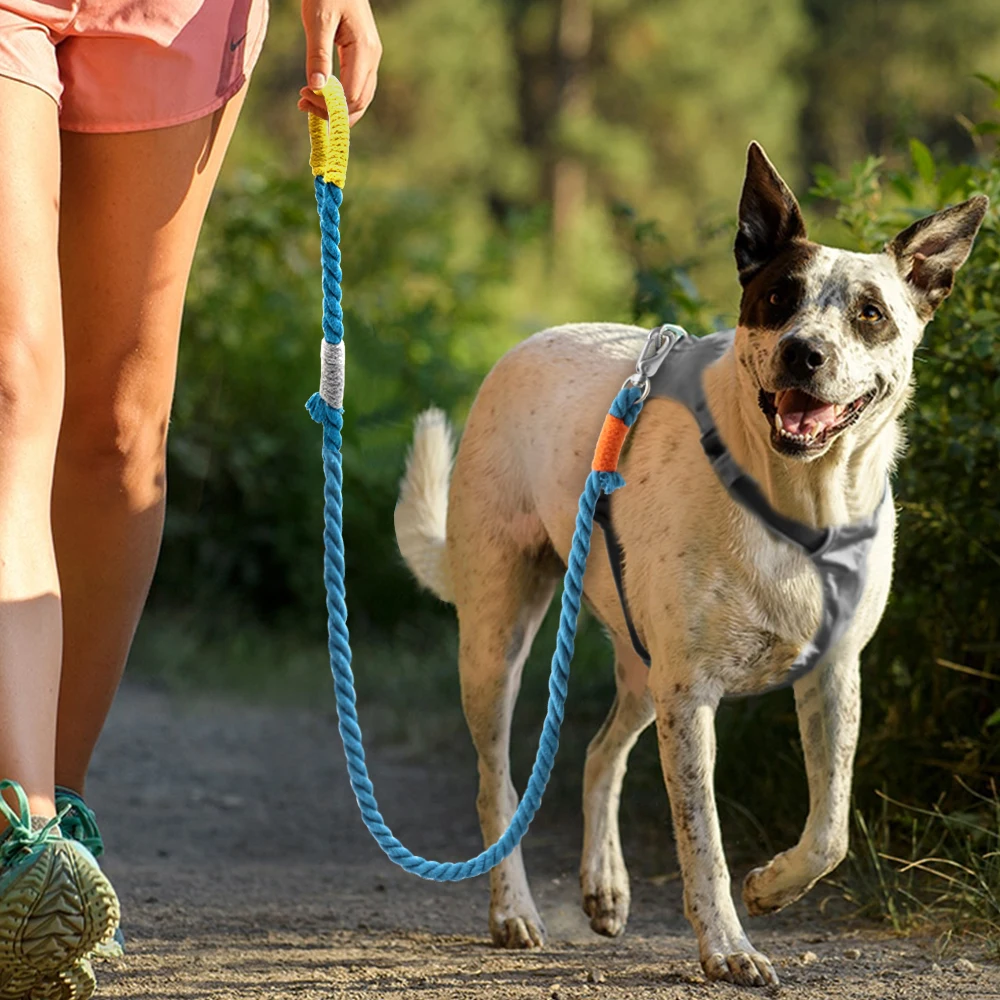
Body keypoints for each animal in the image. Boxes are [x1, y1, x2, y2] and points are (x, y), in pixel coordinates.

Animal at [394, 141, 988, 984]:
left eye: (870, 313)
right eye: (778, 298)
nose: (804, 352)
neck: (800, 506)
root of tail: (528, 341)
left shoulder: (832, 673)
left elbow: (831, 828)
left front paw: (773, 886)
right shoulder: (691, 697)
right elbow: (701, 838)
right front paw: (728, 947)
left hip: (643, 663)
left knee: (598, 753)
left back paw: (605, 887)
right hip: (498, 639)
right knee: (497, 784)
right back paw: (513, 911)